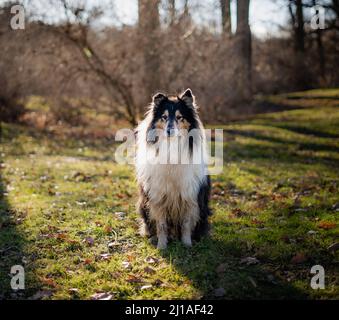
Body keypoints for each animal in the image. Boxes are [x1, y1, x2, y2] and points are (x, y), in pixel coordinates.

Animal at [136, 89, 212, 249]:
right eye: (164, 117)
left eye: (179, 117)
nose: (169, 131)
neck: (171, 147)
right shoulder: (158, 197)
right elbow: (161, 224)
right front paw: (162, 246)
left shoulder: (189, 196)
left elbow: (186, 223)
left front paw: (187, 244)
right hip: (143, 205)